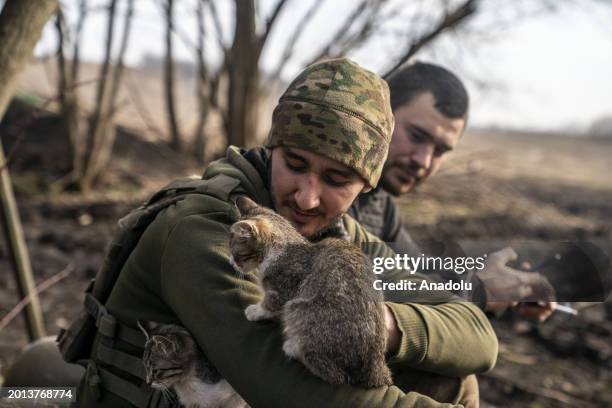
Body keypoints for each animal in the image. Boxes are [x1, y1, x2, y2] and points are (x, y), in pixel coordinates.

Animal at [230, 196, 392, 388]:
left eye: (238, 254)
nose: (231, 262)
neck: (281, 248)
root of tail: (376, 365)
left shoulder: (285, 287)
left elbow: (270, 304)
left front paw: (255, 311)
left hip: (300, 310)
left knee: (335, 375)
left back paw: (292, 347)